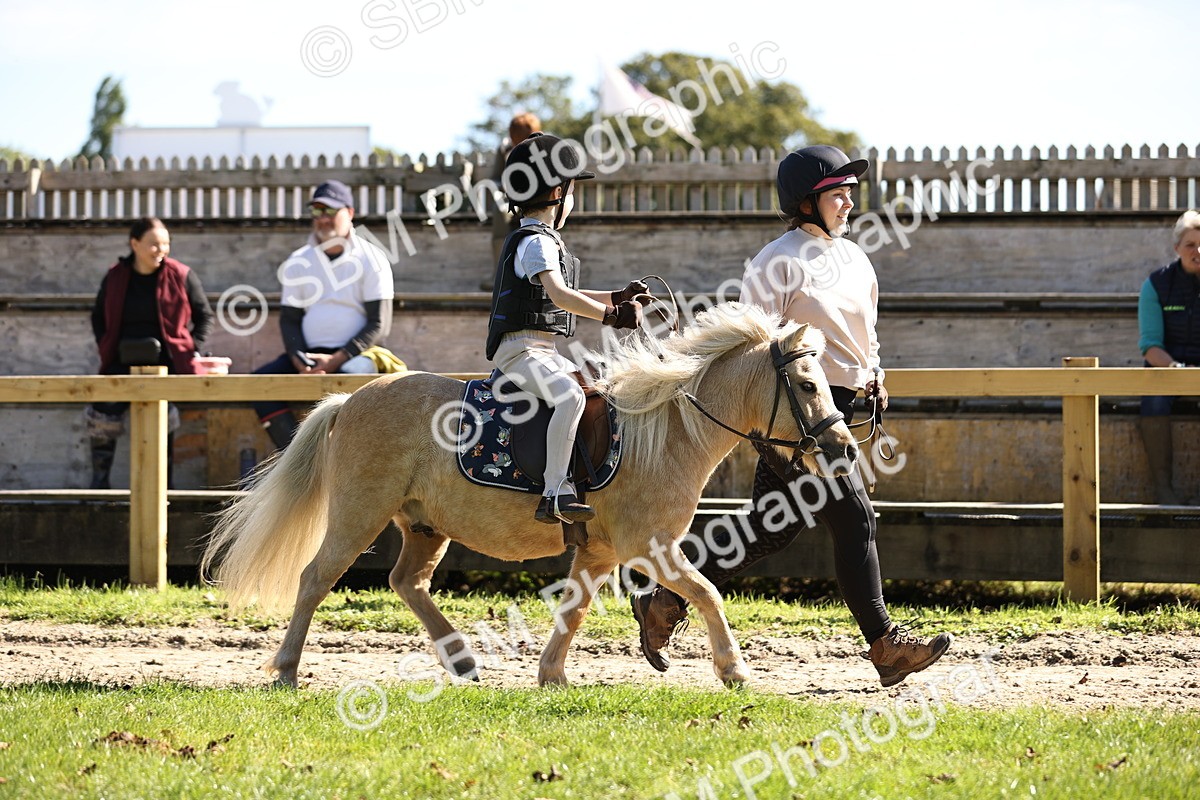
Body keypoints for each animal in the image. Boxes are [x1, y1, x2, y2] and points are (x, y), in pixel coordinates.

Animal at [200, 302, 858, 688]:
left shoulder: (600, 551)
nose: (845, 447)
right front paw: (735, 669)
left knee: (407, 582)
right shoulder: (649, 547)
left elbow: (576, 608)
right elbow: (708, 593)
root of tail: (350, 399)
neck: (666, 429)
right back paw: (287, 670)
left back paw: (461, 658)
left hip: (424, 525)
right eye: (806, 384)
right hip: (358, 514)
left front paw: (552, 675)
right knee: (316, 578)